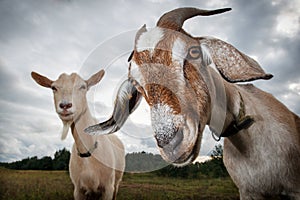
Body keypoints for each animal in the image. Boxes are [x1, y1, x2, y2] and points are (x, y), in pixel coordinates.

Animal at [32, 69, 126, 199]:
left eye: (83, 86)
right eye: (53, 87)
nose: (65, 105)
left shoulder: (108, 188)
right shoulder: (78, 189)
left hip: (117, 181)